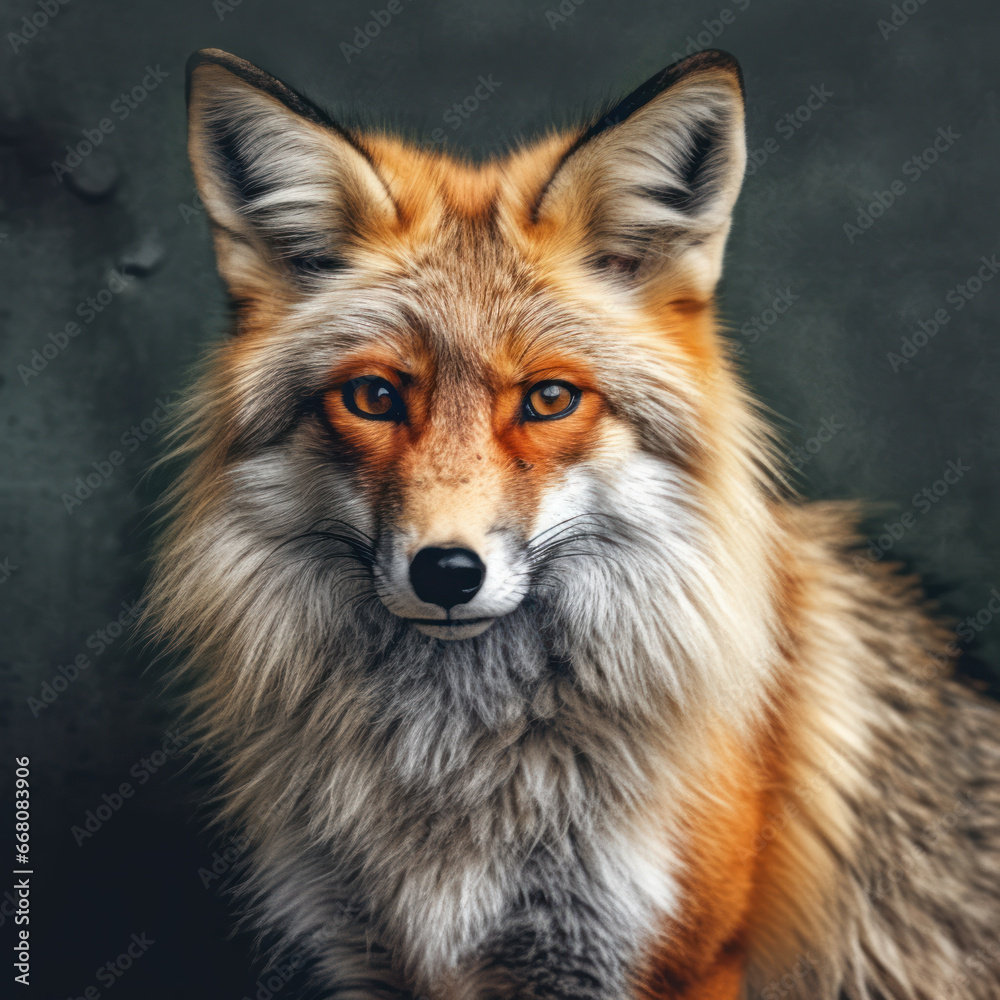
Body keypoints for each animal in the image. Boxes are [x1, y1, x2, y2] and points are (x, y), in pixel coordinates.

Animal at [146, 47, 1000, 999]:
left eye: (549, 399)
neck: (456, 770)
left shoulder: (672, 958)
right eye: (372, 397)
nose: (448, 572)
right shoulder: (371, 954)